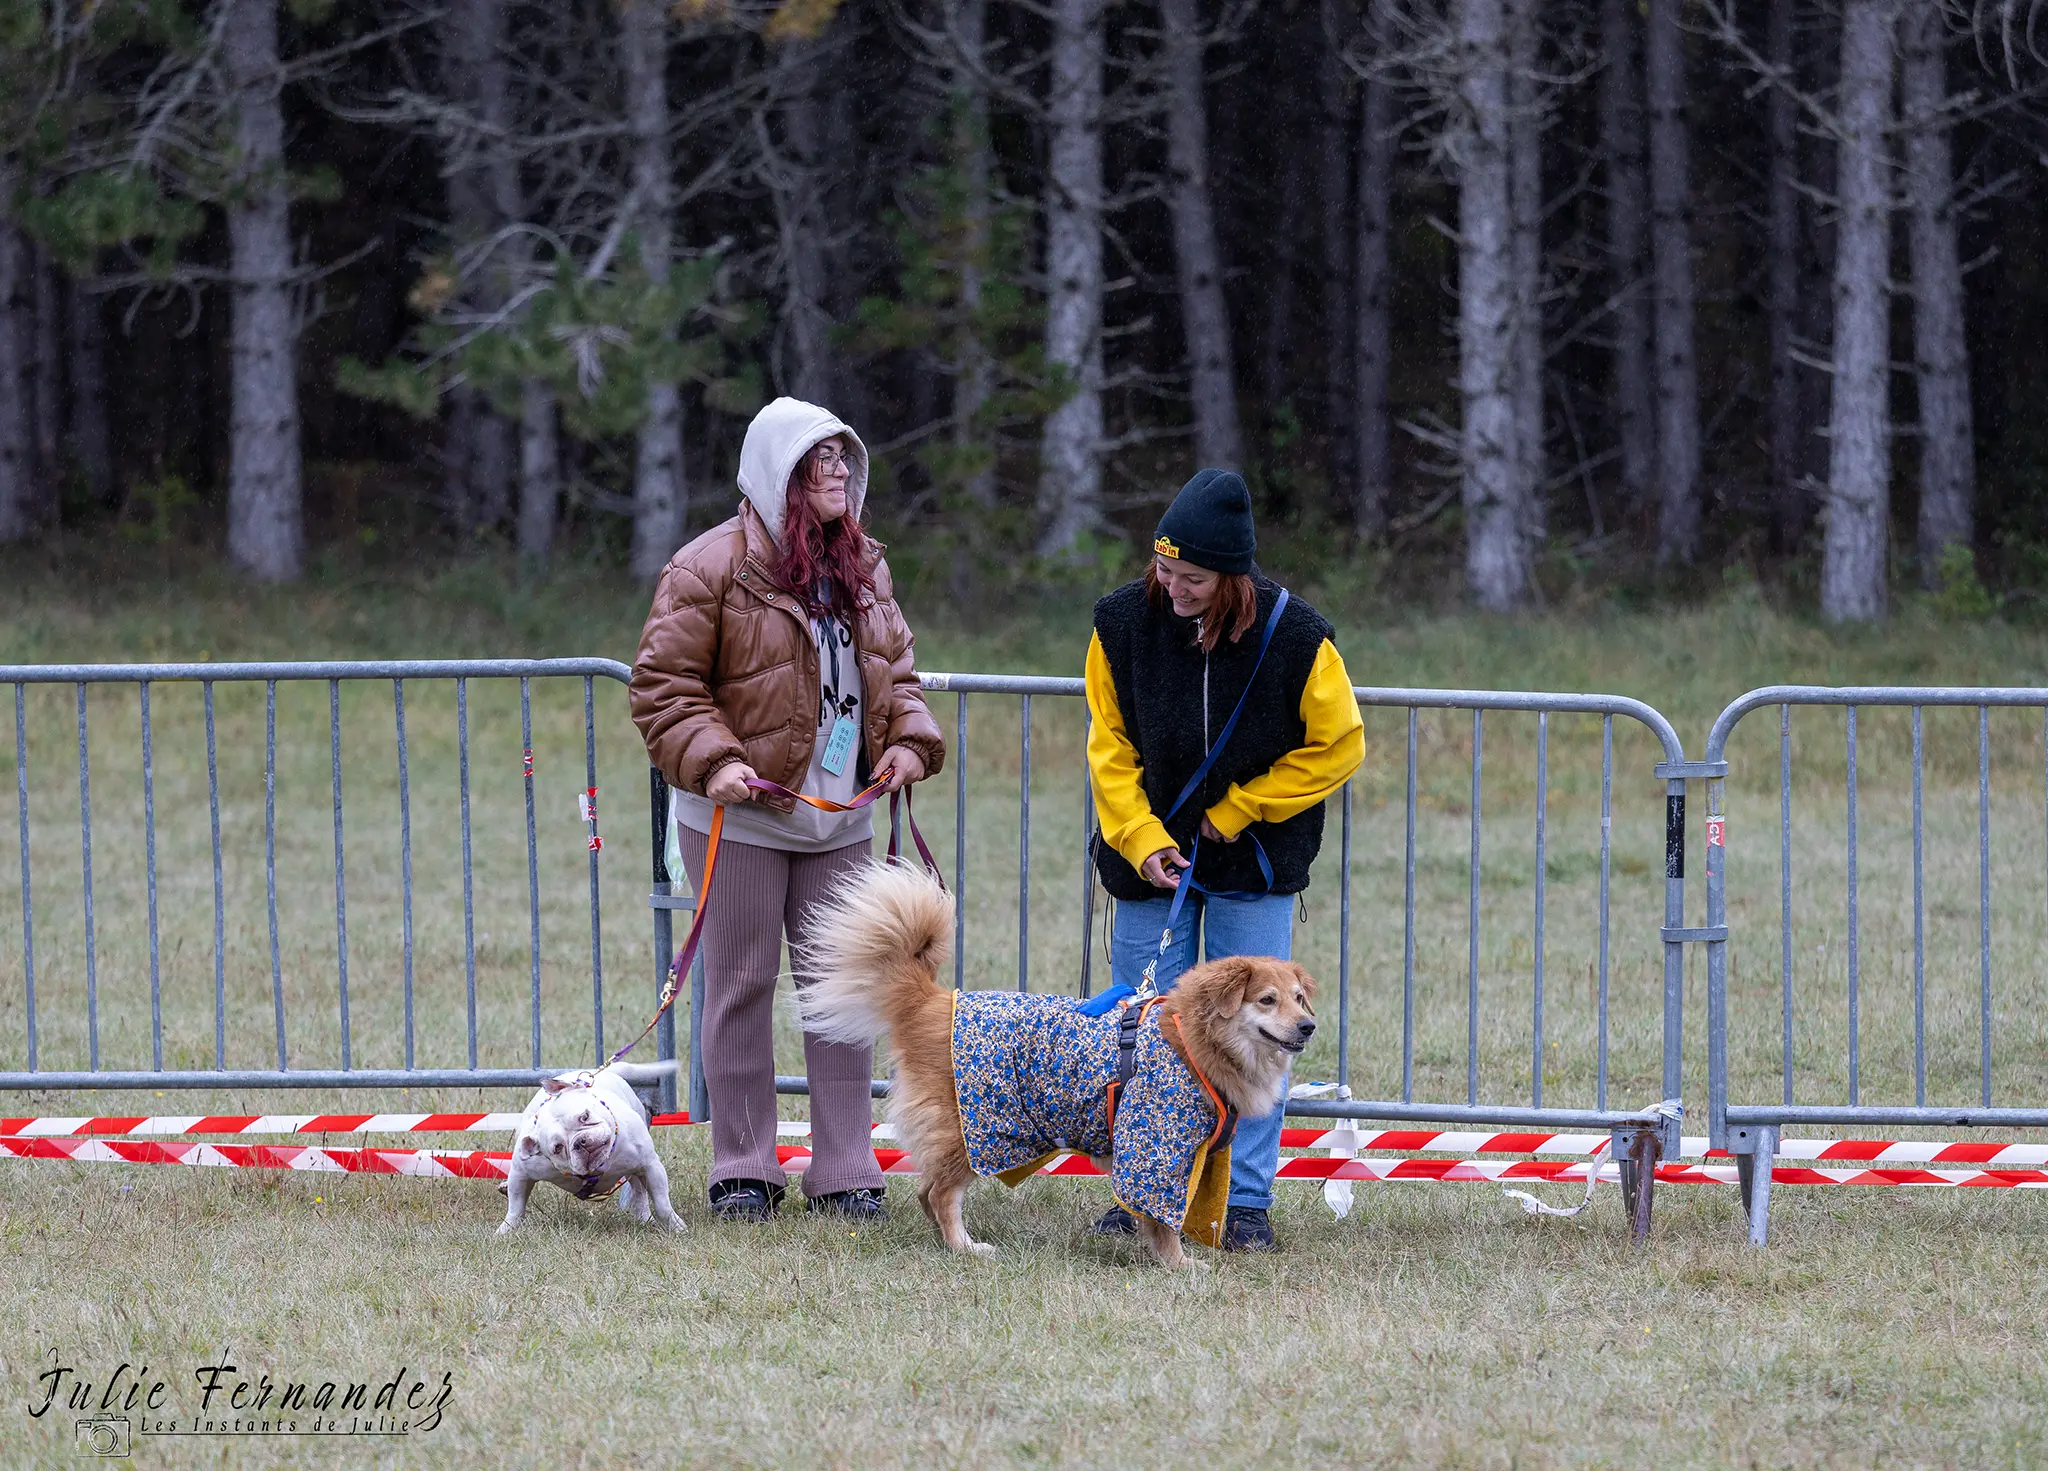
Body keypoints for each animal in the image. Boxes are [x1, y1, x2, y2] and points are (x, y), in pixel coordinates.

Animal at [497, 1065, 684, 1237]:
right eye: (558, 1147)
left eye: (585, 1116)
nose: (581, 1142)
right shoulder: (522, 1172)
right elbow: (515, 1206)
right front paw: (505, 1229)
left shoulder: (650, 1165)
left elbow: (662, 1204)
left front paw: (676, 1227)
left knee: (640, 1193)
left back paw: (645, 1219)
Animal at [790, 864, 1318, 1270]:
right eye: (1267, 1000)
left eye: (1298, 998)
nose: (1309, 1026)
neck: (1194, 1041)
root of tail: (933, 1002)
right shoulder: (1157, 1149)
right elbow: (1162, 1218)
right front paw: (1178, 1264)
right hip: (976, 1131)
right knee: (940, 1194)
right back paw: (965, 1248)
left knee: (926, 1191)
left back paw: (948, 1243)